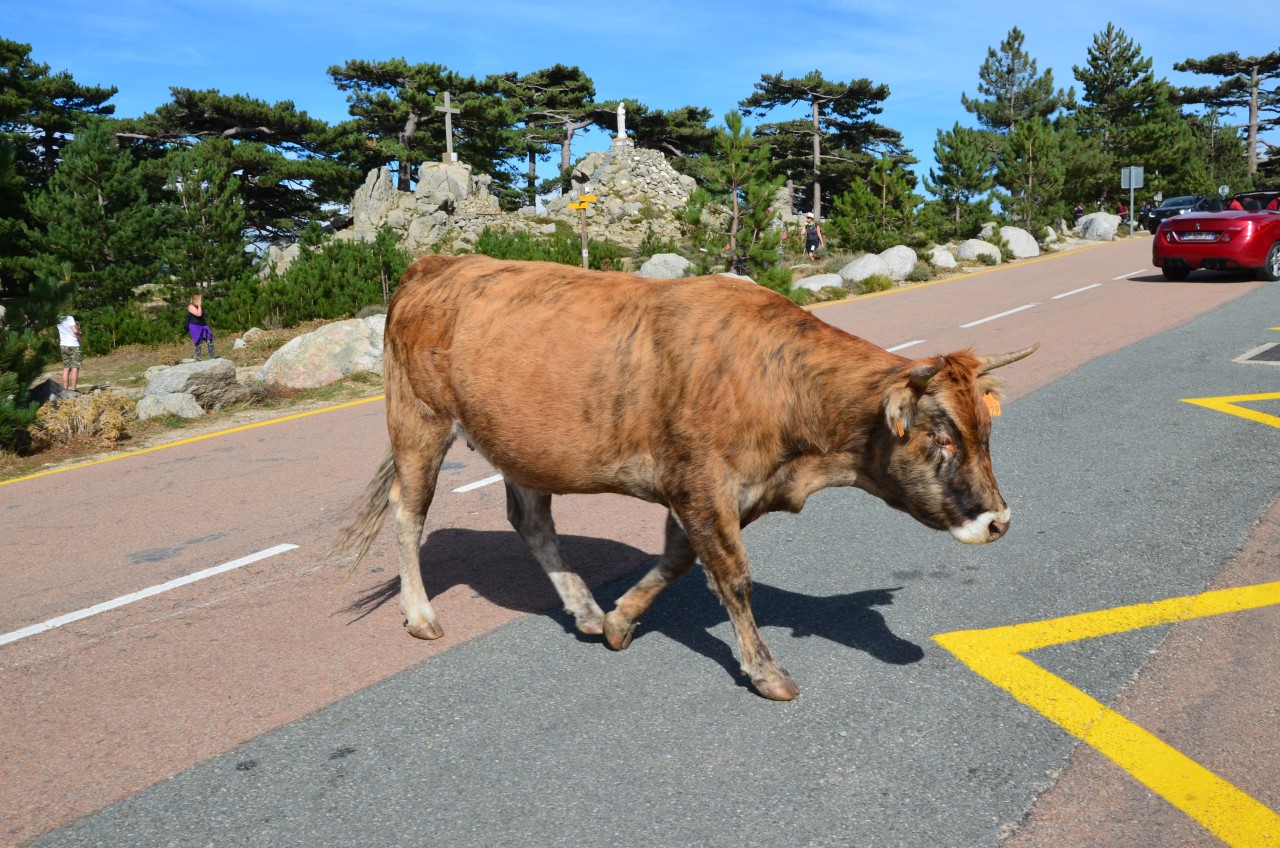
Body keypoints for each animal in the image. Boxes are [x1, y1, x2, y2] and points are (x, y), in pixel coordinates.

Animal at [334, 254, 1036, 701]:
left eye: (986, 431)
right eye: (940, 437)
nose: (999, 520)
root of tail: (436, 262)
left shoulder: (712, 493)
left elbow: (676, 561)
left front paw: (620, 621)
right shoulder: (702, 484)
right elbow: (733, 577)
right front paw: (764, 671)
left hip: (520, 443)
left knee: (530, 520)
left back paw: (584, 609)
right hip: (419, 420)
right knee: (409, 511)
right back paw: (421, 614)